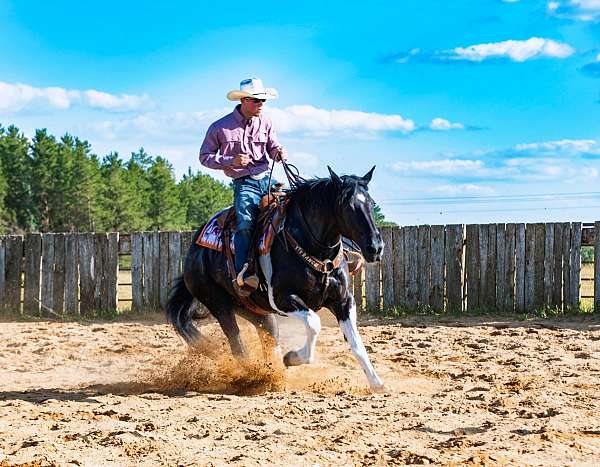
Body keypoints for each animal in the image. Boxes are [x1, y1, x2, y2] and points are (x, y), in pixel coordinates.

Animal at [166, 166, 386, 394]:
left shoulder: (343, 300)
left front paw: (376, 382)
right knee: (236, 341)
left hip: (255, 310)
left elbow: (356, 342)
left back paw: (273, 375)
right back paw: (250, 377)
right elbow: (314, 323)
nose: (375, 248)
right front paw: (293, 357)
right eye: (348, 206)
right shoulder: (283, 299)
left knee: (268, 337)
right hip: (219, 304)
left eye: (371, 203)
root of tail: (194, 251)